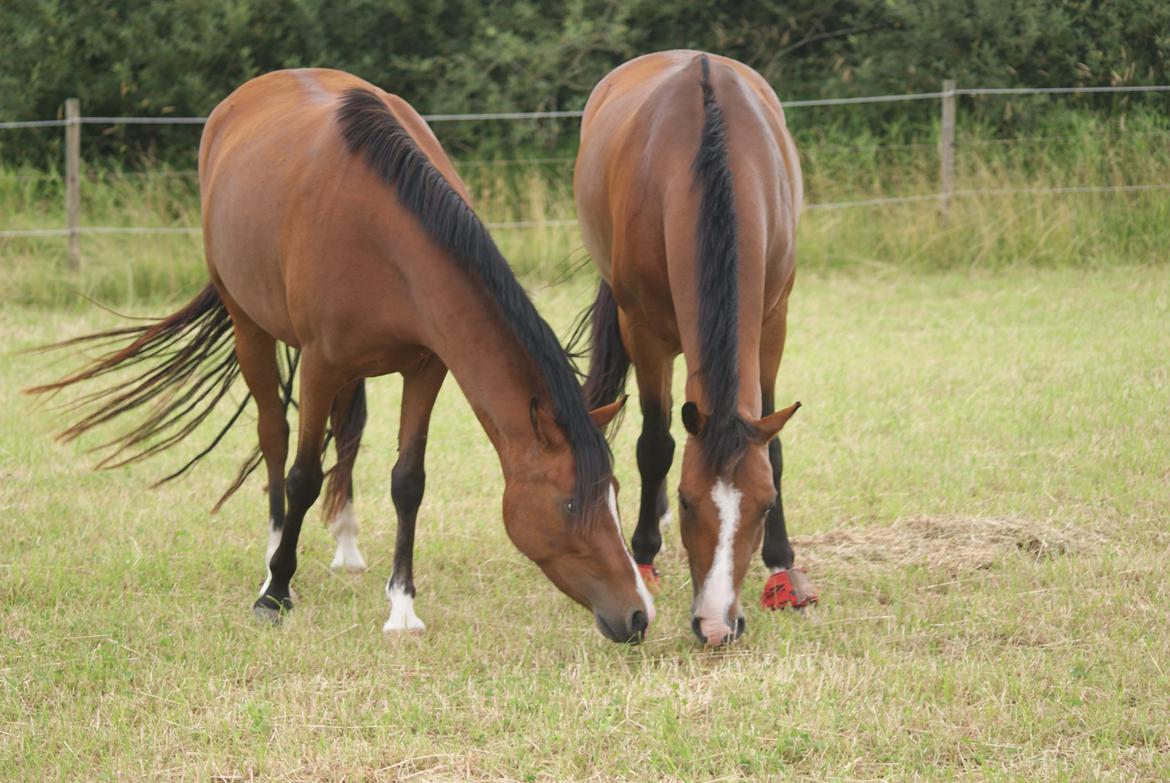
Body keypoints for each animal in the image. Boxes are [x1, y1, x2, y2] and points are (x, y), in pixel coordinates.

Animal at [29, 67, 659, 641]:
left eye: (615, 495)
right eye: (569, 506)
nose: (637, 615)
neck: (385, 234)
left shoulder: (427, 367)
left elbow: (408, 480)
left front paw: (401, 607)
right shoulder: (320, 364)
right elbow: (303, 474)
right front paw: (276, 592)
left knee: (348, 433)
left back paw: (346, 543)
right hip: (249, 325)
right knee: (274, 436)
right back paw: (273, 557)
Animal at [575, 51, 814, 646]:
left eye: (765, 505)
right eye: (688, 502)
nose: (716, 624)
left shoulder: (773, 321)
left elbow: (773, 444)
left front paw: (782, 566)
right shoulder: (644, 331)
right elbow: (655, 445)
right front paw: (642, 557)